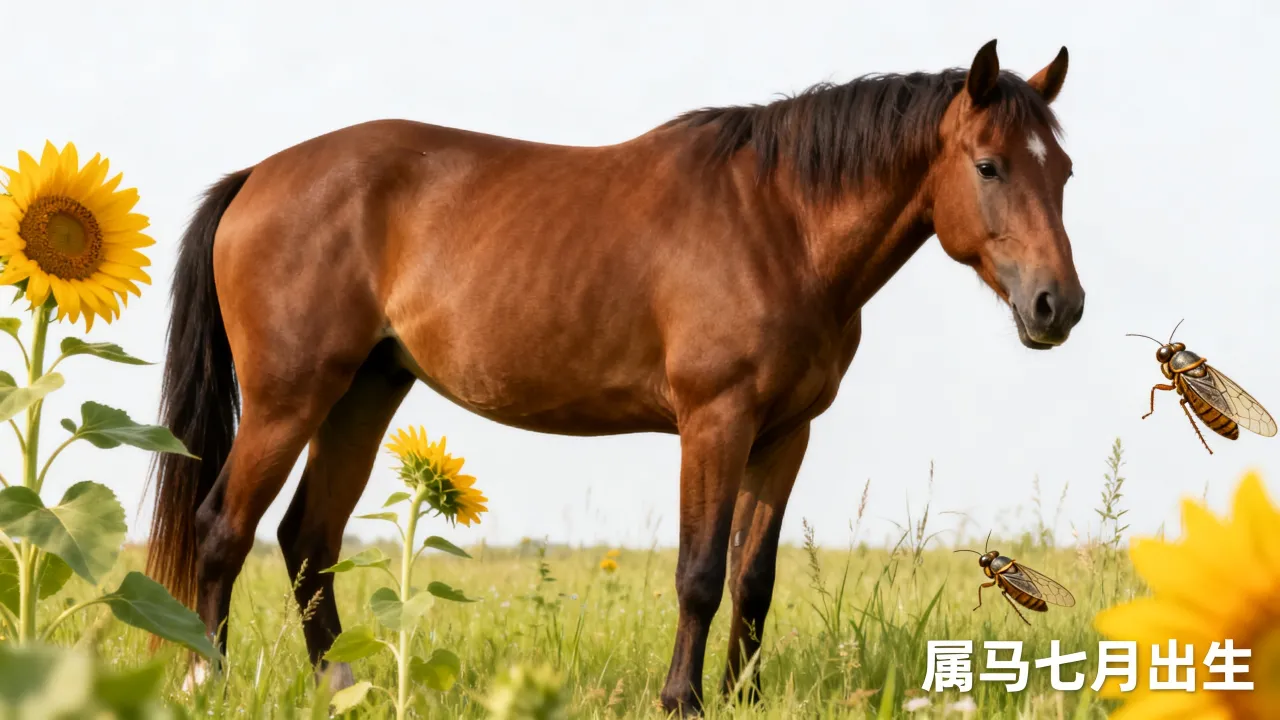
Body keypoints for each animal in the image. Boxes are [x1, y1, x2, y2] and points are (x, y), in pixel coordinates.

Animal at [147, 38, 1082, 714]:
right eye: (989, 164)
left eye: (1063, 171)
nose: (1057, 305)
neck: (779, 224)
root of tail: (258, 177)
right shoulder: (715, 421)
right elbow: (700, 573)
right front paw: (683, 699)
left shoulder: (784, 433)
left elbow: (753, 577)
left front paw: (742, 696)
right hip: (289, 398)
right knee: (223, 528)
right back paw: (202, 683)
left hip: (365, 391)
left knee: (308, 538)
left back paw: (344, 689)